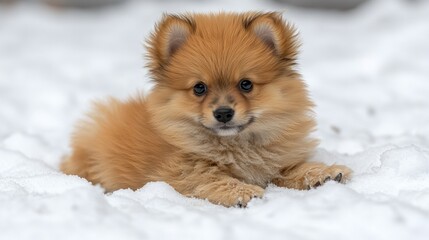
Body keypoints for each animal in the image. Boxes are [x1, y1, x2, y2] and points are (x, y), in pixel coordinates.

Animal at [61, 11, 352, 206]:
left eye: (246, 84)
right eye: (199, 88)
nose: (223, 113)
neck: (238, 145)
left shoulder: (277, 159)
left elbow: (291, 167)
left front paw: (323, 172)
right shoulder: (181, 170)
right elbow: (211, 178)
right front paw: (241, 191)